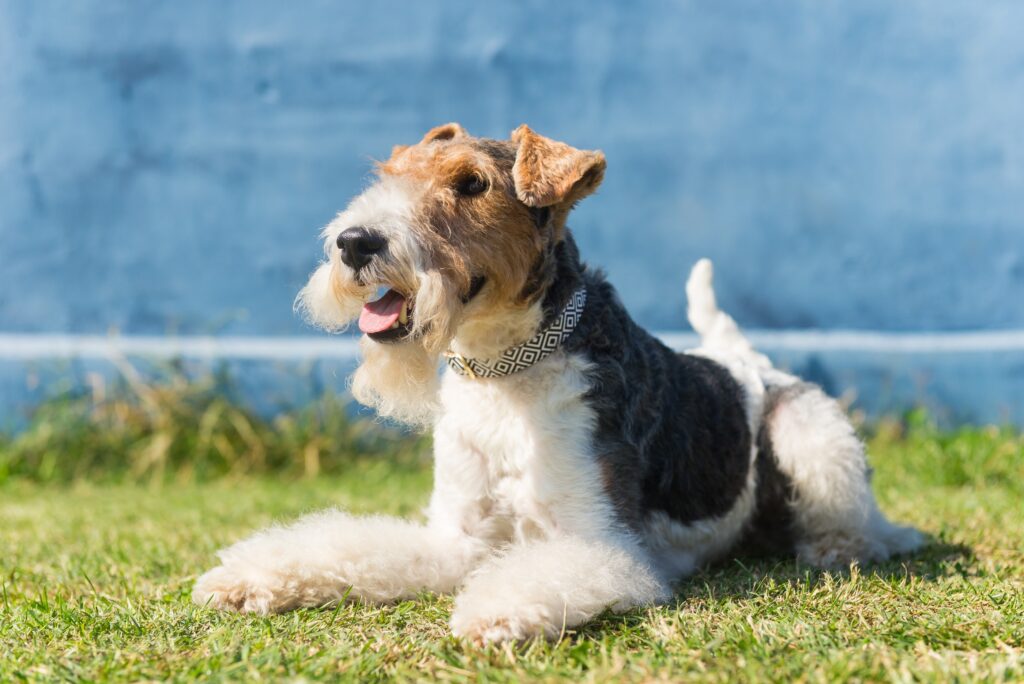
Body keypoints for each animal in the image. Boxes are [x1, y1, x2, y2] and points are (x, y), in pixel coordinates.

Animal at [190, 125, 921, 643]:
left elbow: (540, 577)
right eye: (389, 177)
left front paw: (490, 616)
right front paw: (246, 579)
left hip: (808, 432)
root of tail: (748, 364)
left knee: (857, 521)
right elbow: (350, 547)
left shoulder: (604, 546)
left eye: (472, 184)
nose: (354, 242)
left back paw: (839, 547)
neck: (501, 371)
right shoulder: (458, 538)